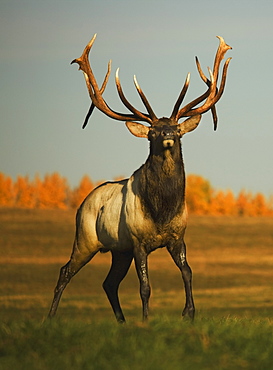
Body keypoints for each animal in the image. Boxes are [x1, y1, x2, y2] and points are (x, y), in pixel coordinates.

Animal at [47, 35, 231, 324]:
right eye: (152, 132)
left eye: (177, 128)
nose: (167, 133)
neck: (162, 210)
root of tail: (83, 203)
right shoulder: (138, 241)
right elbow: (145, 286)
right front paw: (146, 320)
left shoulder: (177, 238)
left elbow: (188, 272)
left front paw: (189, 313)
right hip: (86, 238)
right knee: (66, 270)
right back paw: (50, 317)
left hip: (118, 250)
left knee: (109, 283)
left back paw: (122, 322)